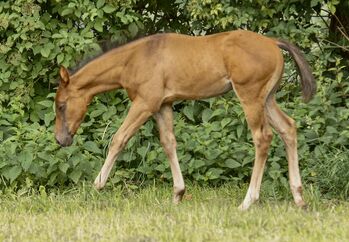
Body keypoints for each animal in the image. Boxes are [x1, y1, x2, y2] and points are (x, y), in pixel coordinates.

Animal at [54, 29, 316, 210]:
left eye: (61, 105)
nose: (60, 139)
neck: (135, 58)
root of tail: (273, 42)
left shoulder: (145, 103)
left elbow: (119, 139)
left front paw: (96, 185)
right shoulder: (163, 105)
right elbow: (168, 142)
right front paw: (178, 194)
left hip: (250, 96)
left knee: (263, 138)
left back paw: (247, 201)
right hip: (267, 98)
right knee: (288, 128)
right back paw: (299, 197)